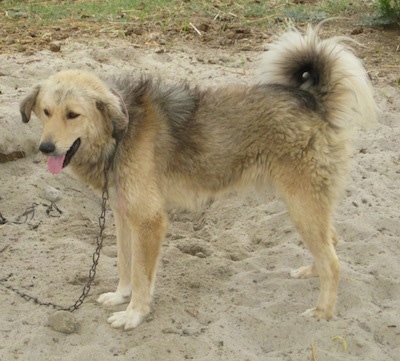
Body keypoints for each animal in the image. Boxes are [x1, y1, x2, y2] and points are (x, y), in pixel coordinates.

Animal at [19, 24, 376, 330]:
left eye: (73, 115)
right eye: (46, 112)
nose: (45, 148)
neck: (119, 131)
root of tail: (312, 101)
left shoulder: (149, 221)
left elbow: (142, 274)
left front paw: (134, 314)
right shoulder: (123, 215)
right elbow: (125, 263)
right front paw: (121, 296)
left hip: (301, 205)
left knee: (333, 261)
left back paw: (323, 311)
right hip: (308, 206)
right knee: (332, 242)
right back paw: (310, 273)